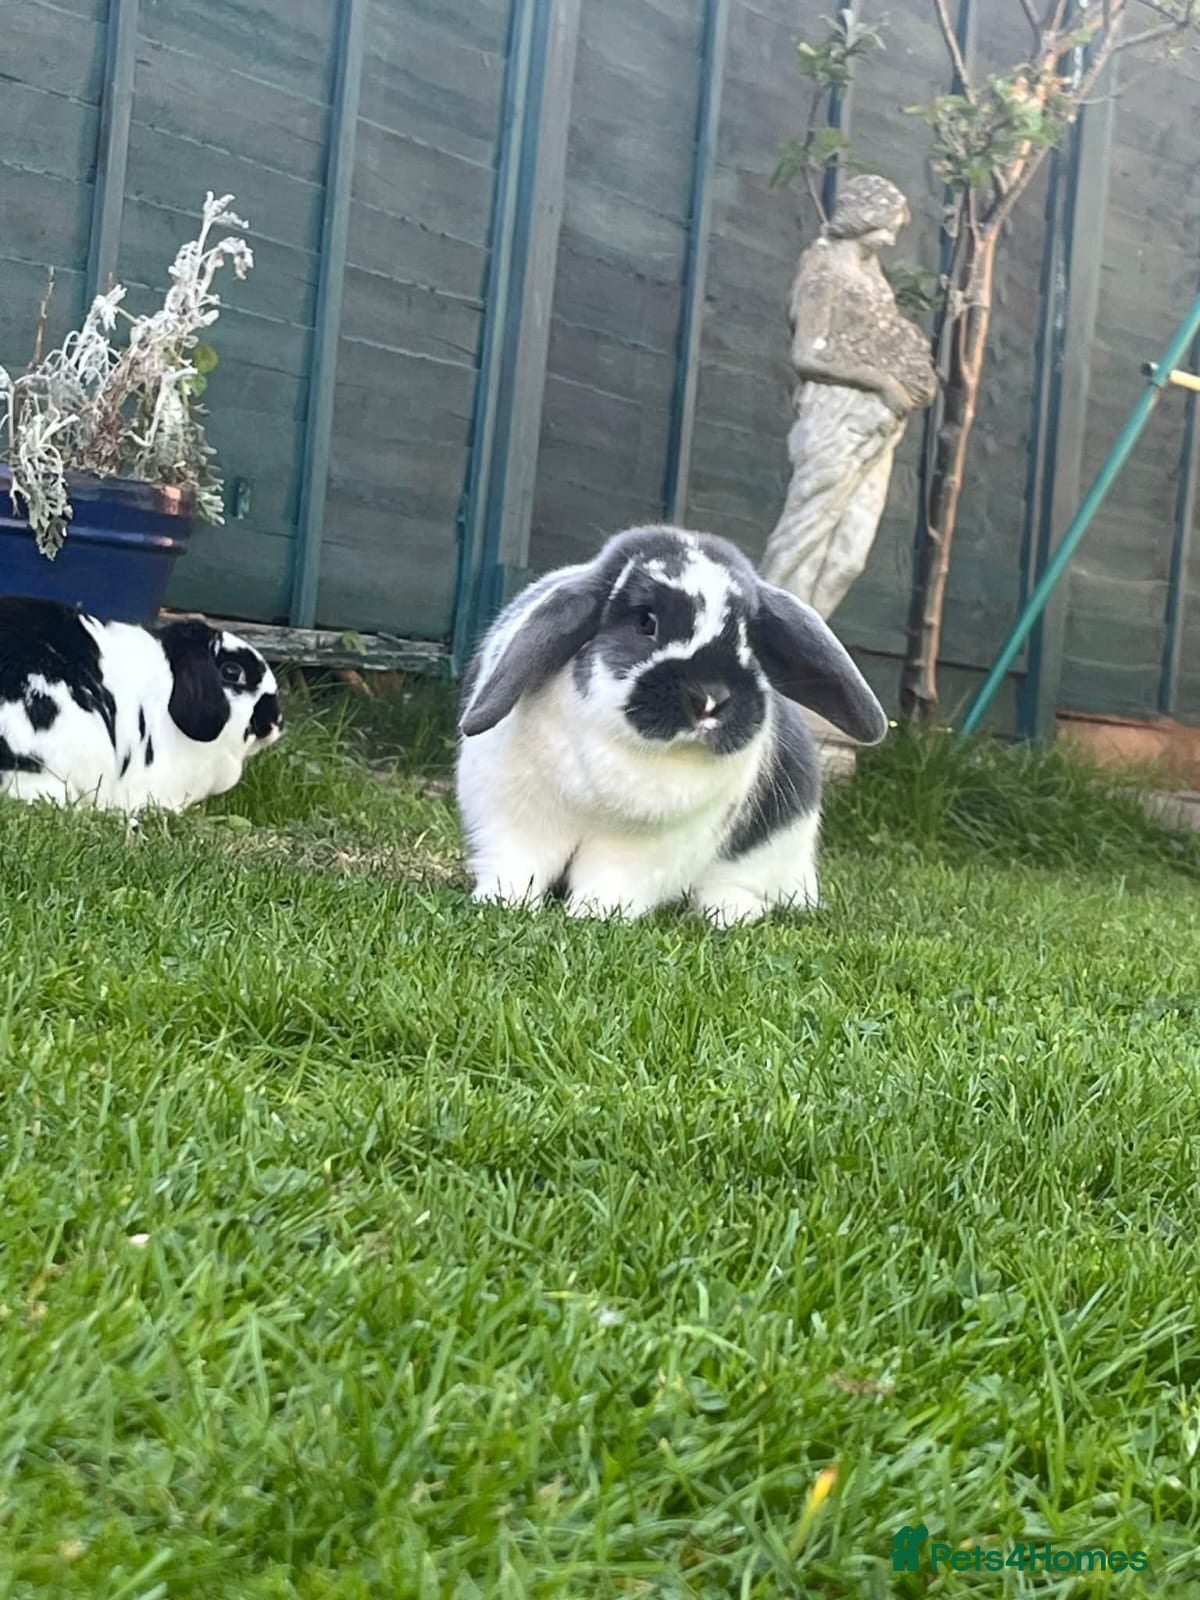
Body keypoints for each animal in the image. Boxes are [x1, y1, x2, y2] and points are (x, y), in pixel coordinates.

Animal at [455, 523, 887, 925]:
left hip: (774, 852)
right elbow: (516, 865)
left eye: (749, 637)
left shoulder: (644, 849)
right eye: (647, 621)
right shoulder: (515, 818)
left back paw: (728, 913)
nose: (711, 698)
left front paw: (595, 914)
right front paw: (499, 902)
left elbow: (609, 880)